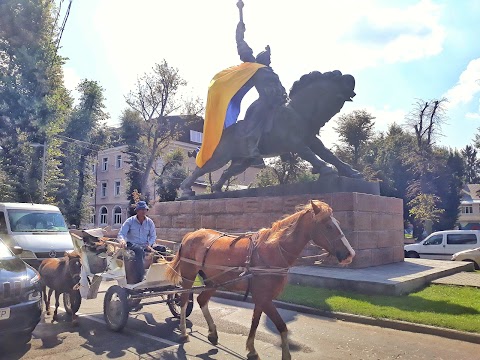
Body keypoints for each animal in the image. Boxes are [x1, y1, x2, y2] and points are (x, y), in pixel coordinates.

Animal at [167, 200, 354, 360]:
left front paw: (251, 349)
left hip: (214, 281)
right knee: (184, 300)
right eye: (328, 226)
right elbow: (281, 326)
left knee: (201, 300)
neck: (272, 251)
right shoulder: (264, 298)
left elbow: (255, 322)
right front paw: (284, 355)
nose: (349, 254)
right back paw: (183, 332)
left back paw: (212, 333)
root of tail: (191, 234)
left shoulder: (261, 297)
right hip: (188, 276)